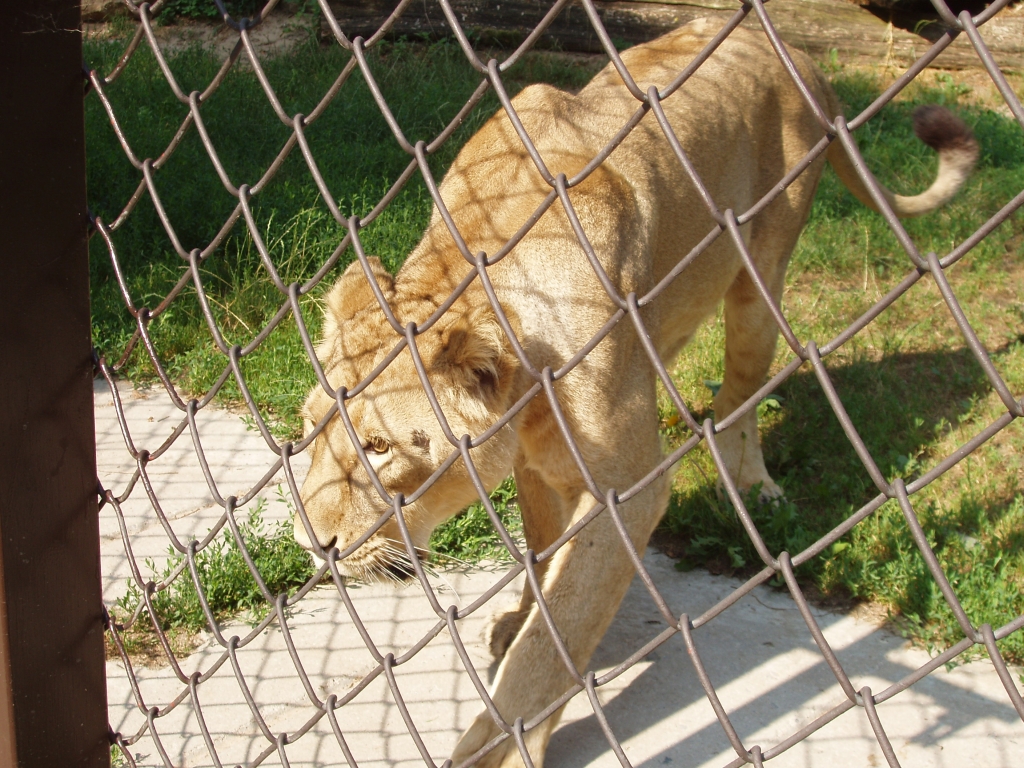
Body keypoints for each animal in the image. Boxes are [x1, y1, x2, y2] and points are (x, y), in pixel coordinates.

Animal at [293, 18, 977, 768]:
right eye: (307, 430)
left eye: (378, 447)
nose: (309, 544)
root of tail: (801, 55)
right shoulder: (536, 464)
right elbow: (544, 565)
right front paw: (521, 619)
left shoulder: (631, 490)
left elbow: (551, 643)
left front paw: (505, 737)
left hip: (760, 274)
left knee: (740, 394)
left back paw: (753, 485)